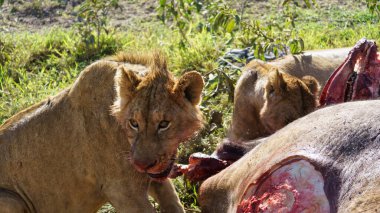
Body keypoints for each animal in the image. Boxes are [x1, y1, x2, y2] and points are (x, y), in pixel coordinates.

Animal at [0, 52, 203, 212]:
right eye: (134, 123)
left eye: (164, 124)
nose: (142, 165)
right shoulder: (123, 192)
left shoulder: (156, 178)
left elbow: (174, 204)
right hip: (12, 200)